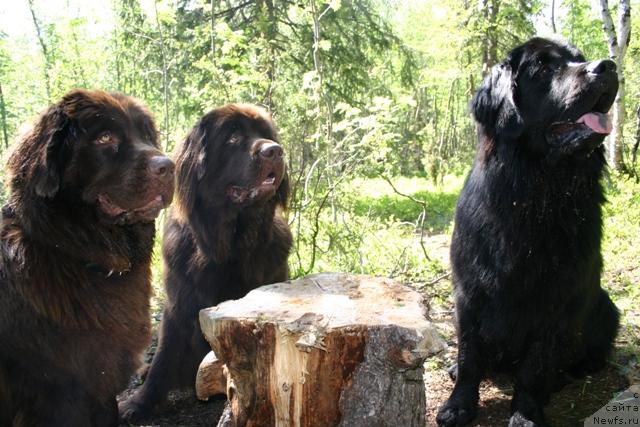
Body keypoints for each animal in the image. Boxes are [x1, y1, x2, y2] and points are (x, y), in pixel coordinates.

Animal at [119, 104, 292, 424]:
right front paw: (139, 402)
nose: (275, 151)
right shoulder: (178, 302)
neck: (230, 247)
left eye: (266, 134)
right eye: (233, 137)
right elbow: (164, 356)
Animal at [440, 37, 620, 427]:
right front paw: (458, 405)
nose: (608, 66)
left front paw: (525, 413)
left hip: (606, 306)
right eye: (543, 68)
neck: (537, 194)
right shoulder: (468, 293)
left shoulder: (556, 300)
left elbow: (535, 365)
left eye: (580, 59)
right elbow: (469, 355)